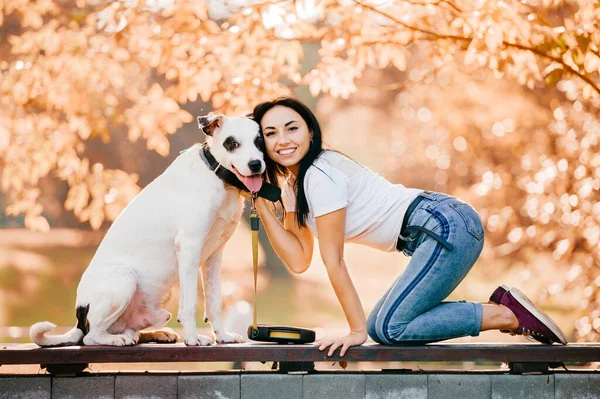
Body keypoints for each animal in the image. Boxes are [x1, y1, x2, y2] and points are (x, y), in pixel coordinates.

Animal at [30, 115, 264, 346]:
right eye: (232, 143)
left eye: (259, 141)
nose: (255, 164)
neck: (218, 178)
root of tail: (80, 317)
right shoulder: (189, 246)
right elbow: (189, 305)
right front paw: (192, 338)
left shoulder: (214, 255)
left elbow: (214, 302)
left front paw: (222, 336)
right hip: (124, 278)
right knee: (92, 336)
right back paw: (117, 339)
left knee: (131, 331)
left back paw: (157, 334)